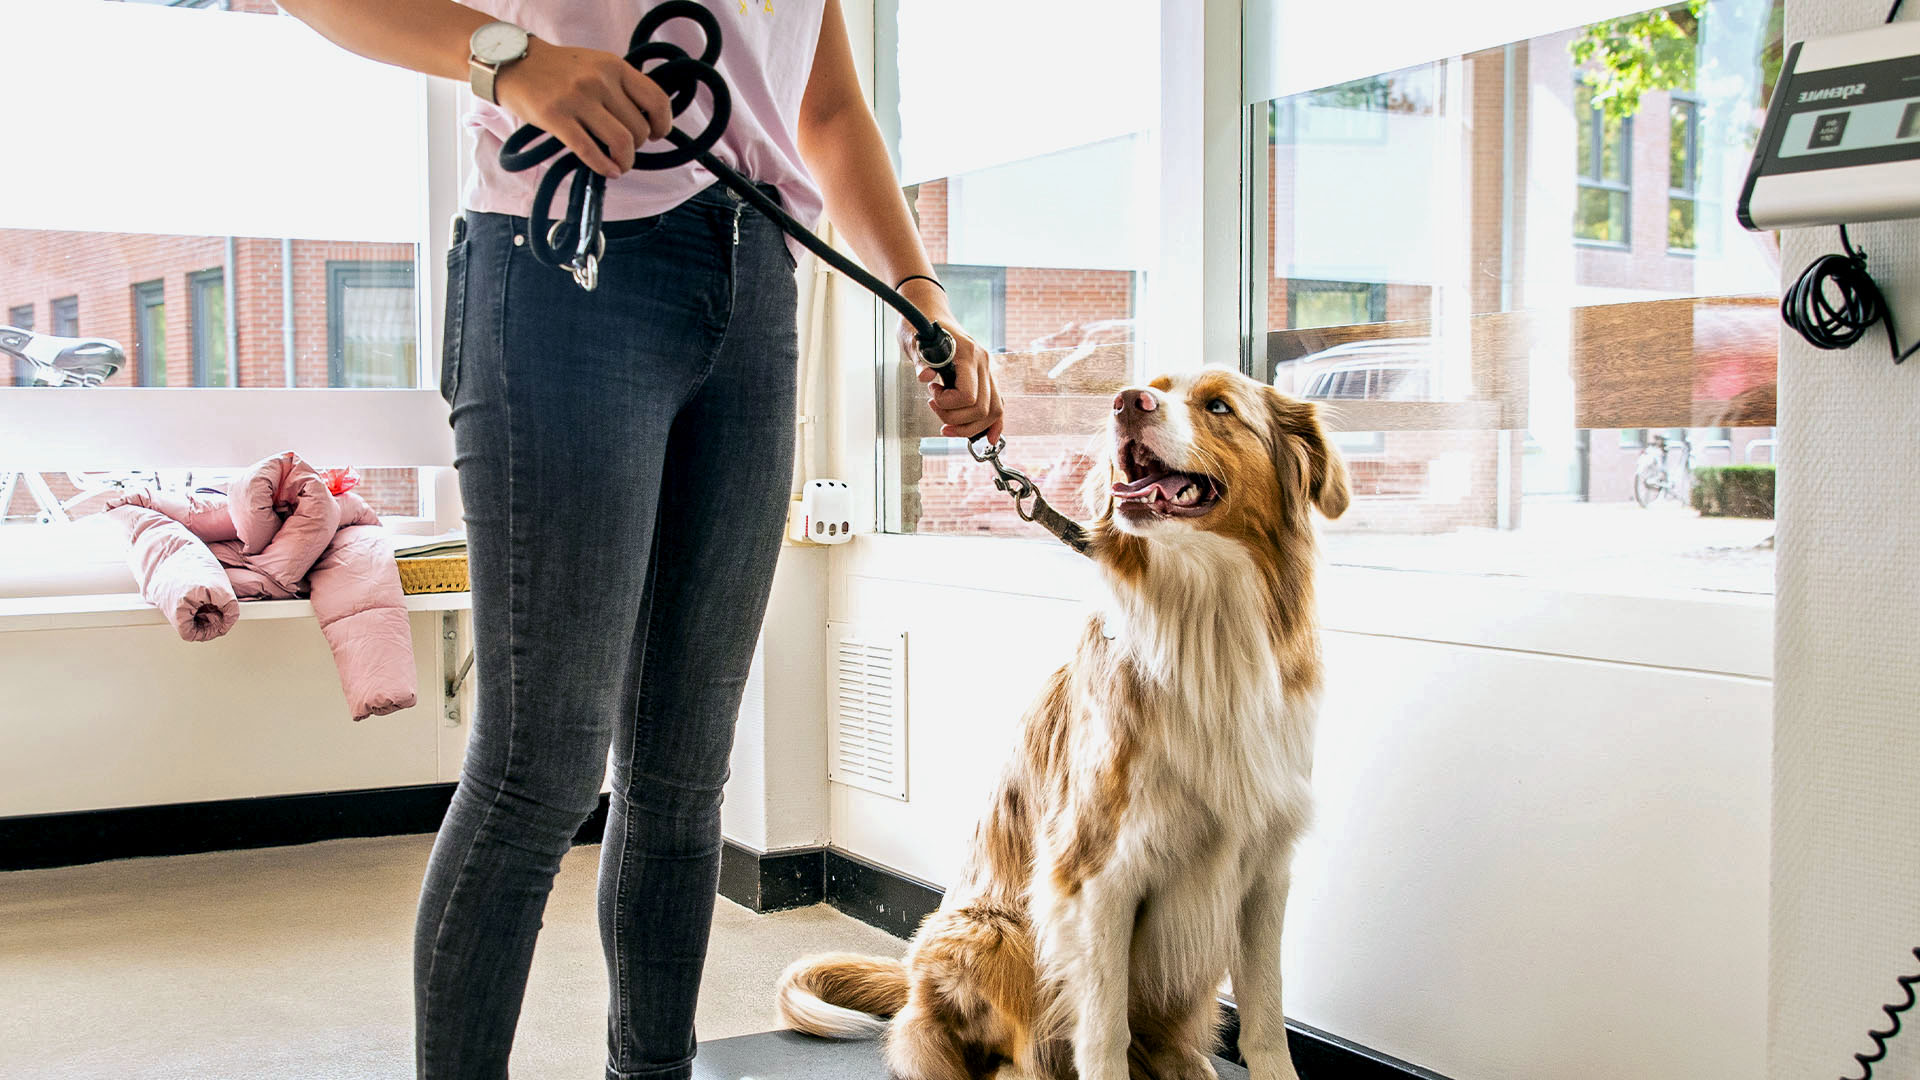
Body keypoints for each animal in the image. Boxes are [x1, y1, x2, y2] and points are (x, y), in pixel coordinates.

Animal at [771, 365, 1344, 1068]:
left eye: (1219, 407)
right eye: (1154, 386)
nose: (1126, 402)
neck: (1202, 633)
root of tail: (913, 977)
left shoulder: (1265, 872)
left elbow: (1266, 1025)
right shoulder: (1096, 875)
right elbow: (1102, 1037)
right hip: (998, 933)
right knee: (1002, 1051)